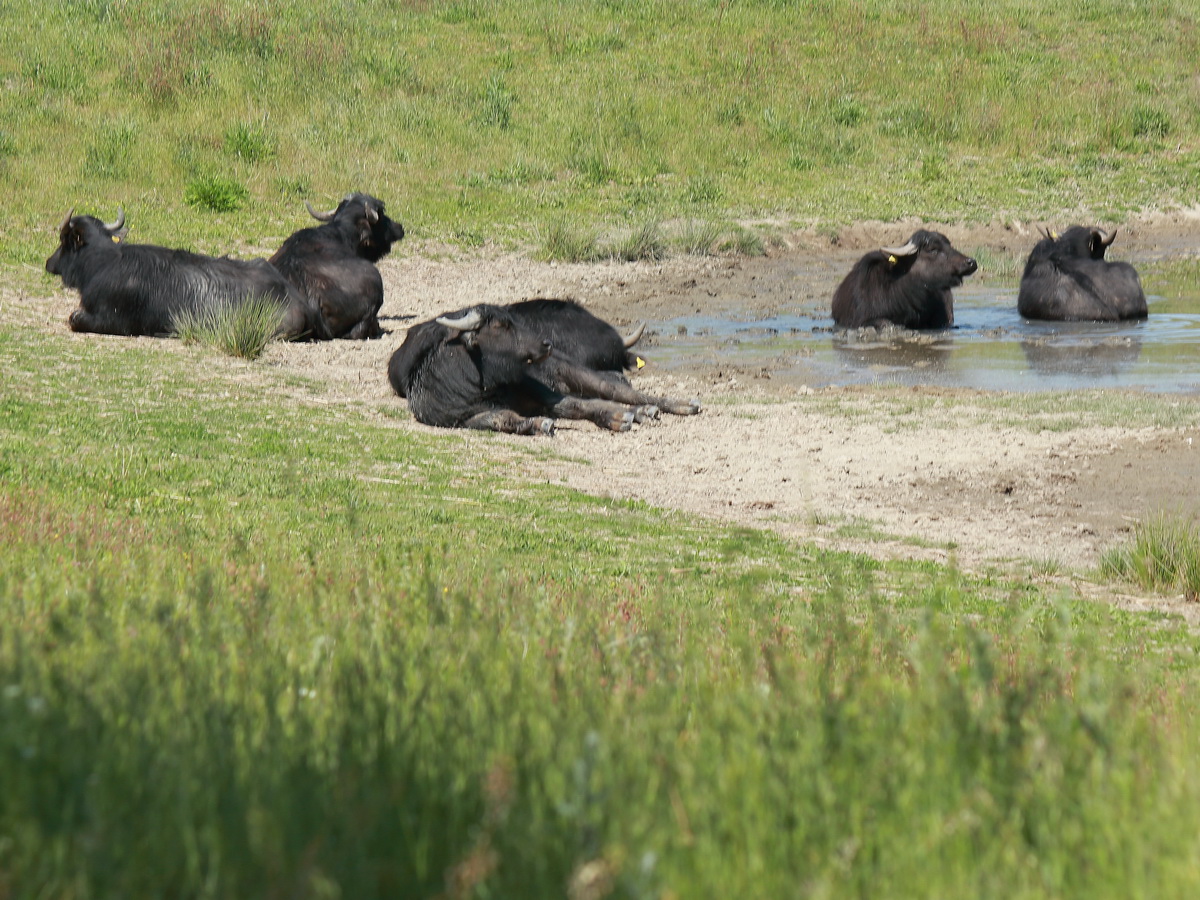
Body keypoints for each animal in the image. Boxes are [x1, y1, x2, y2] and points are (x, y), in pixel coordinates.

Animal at [45, 210, 328, 340]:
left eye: (62, 239)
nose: (49, 262)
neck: (103, 262)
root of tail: (296, 298)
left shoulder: (111, 320)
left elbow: (74, 318)